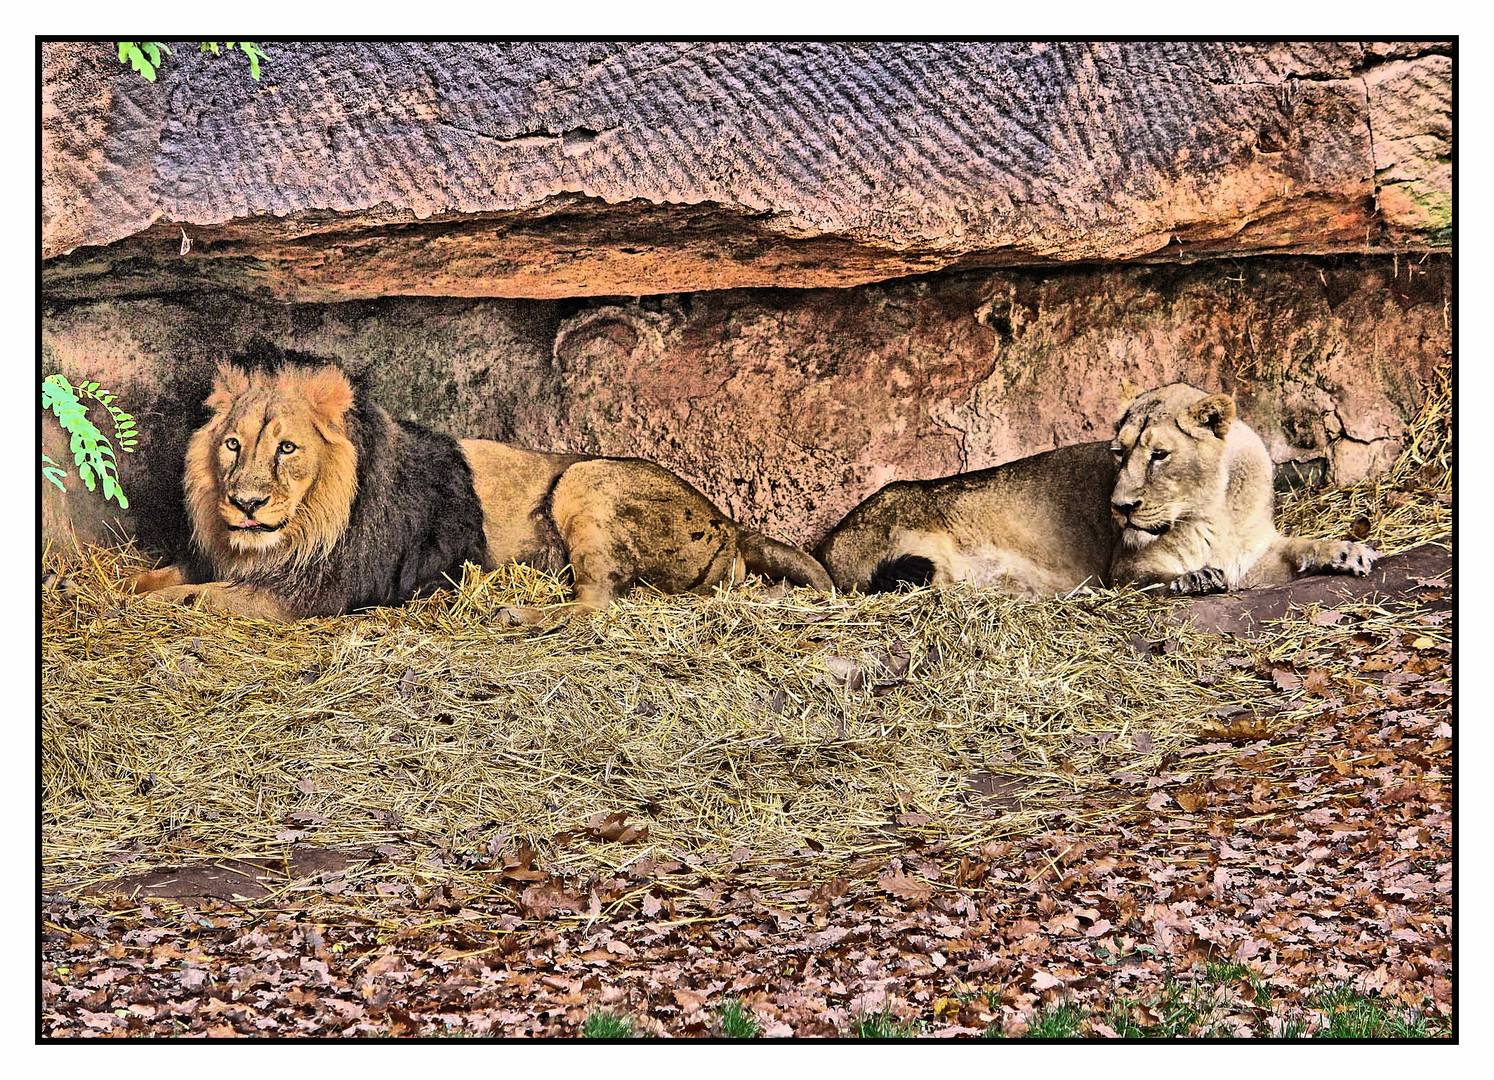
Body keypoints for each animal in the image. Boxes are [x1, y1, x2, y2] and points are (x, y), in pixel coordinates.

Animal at [131, 342, 830, 621]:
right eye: (231, 445)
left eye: (286, 448)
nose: (245, 504)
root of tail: (732, 525)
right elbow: (165, 579)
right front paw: (131, 587)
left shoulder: (316, 597)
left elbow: (197, 600)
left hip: (586, 477)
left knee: (599, 603)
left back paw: (525, 613)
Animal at [818, 382, 1374, 600]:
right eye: (1118, 453)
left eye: (1159, 454)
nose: (1120, 507)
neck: (1218, 509)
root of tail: (826, 544)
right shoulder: (1122, 569)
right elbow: (1159, 575)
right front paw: (1194, 577)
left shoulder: (1258, 552)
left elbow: (1303, 546)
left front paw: (1348, 552)